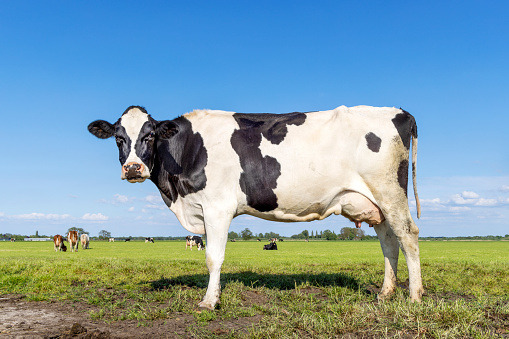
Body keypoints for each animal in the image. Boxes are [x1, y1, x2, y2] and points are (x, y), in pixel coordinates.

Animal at [89, 104, 422, 310]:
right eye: (119, 138)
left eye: (149, 136)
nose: (133, 168)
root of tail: (399, 112)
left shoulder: (217, 208)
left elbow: (213, 258)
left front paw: (209, 302)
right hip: (376, 203)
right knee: (389, 242)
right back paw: (386, 293)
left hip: (390, 193)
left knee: (408, 236)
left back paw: (415, 296)